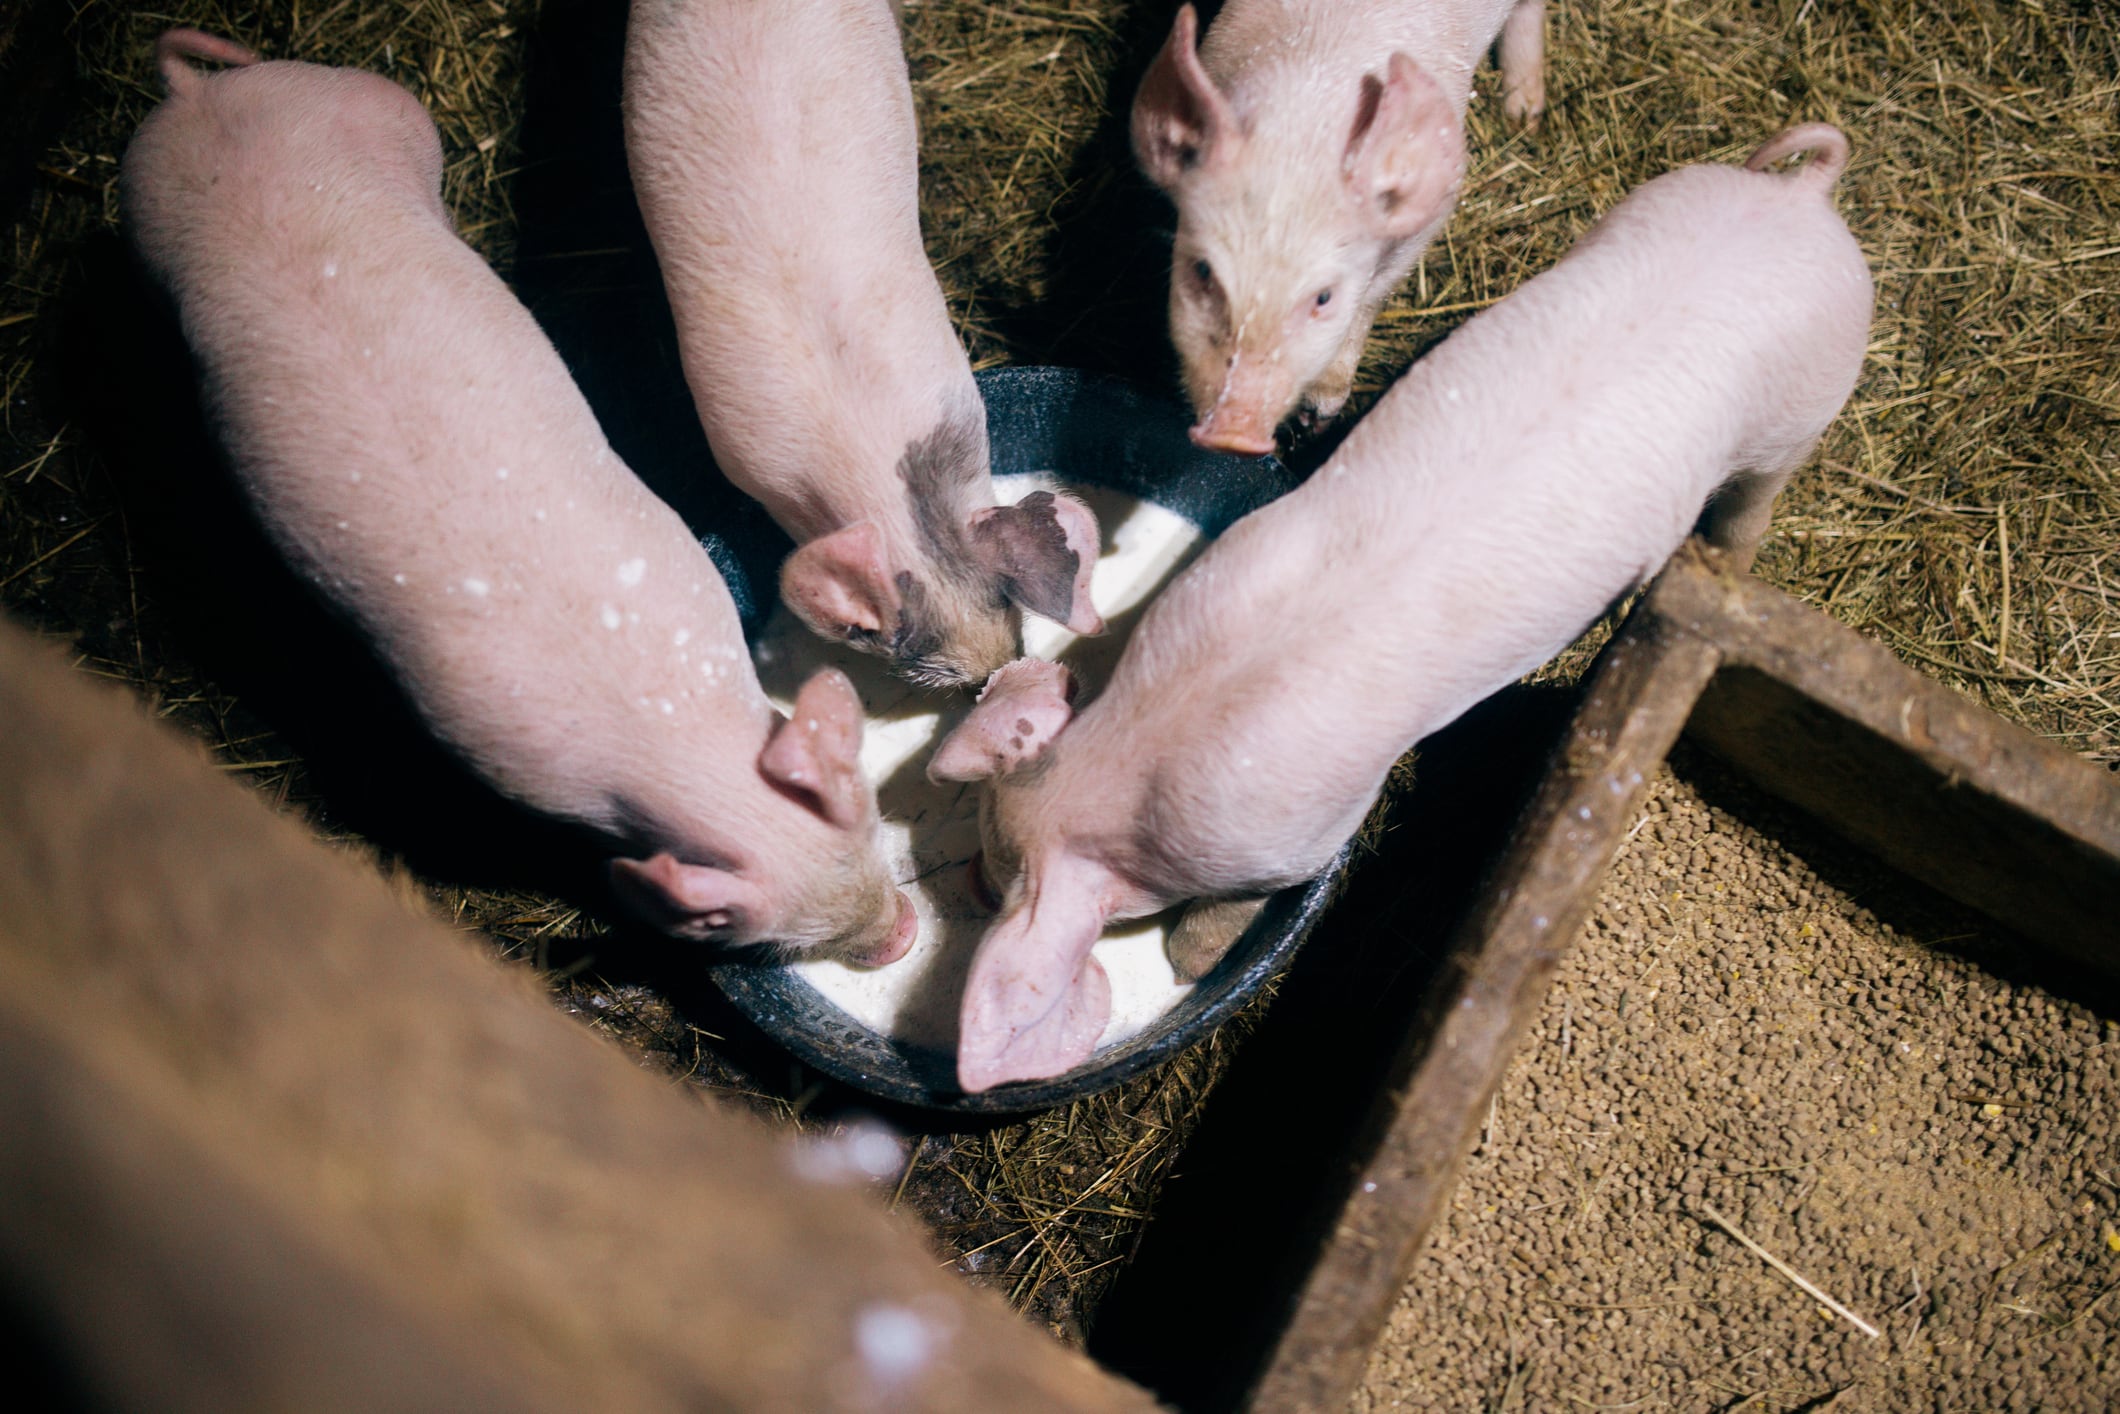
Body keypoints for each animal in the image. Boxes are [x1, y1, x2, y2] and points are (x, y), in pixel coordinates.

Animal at [122, 30, 917, 964]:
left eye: (870, 820)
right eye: (780, 942)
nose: (903, 938)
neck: (657, 712)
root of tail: (195, 102)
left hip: (363, 110)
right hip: (154, 208)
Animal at [933, 125, 1873, 1090]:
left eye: (1008, 874)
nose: (970, 888)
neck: (1148, 738)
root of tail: (1803, 199)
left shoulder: (1308, 833)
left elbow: (1219, 927)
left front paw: (1188, 962)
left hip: (1805, 408)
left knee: (1753, 504)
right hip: (1658, 204)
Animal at [1131, 1, 1548, 453]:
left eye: (1323, 297)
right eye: (1203, 271)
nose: (1231, 435)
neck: (1305, 114)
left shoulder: (1425, 222)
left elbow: (1369, 299)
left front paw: (1319, 413)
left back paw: (1524, 115)